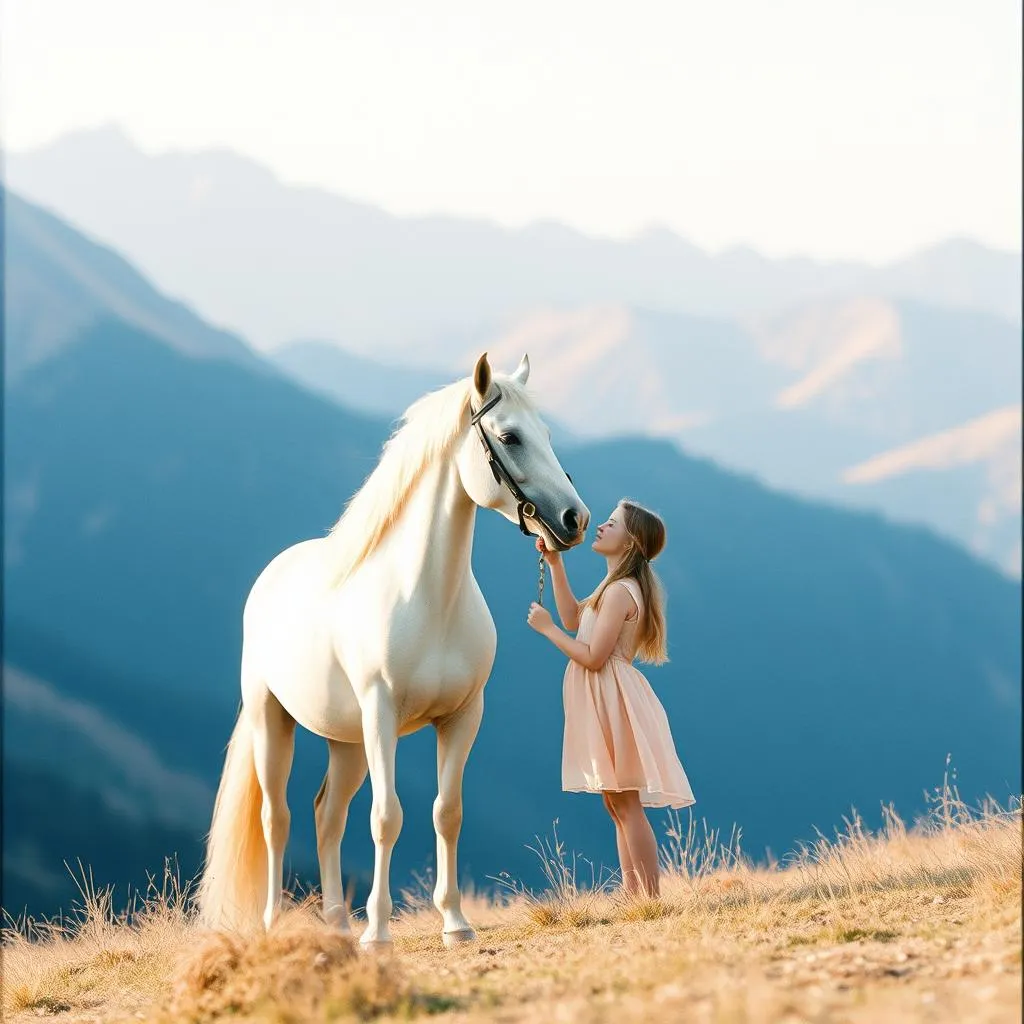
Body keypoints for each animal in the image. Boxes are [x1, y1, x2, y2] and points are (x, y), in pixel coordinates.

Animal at [197, 352, 589, 947]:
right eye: (510, 437)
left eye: (546, 434)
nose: (575, 519)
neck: (428, 599)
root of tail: (272, 574)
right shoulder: (381, 714)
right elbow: (386, 818)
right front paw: (378, 932)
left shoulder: (463, 717)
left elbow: (446, 812)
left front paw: (455, 924)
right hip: (273, 720)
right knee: (277, 818)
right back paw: (275, 925)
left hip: (348, 742)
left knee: (326, 815)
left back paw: (338, 923)